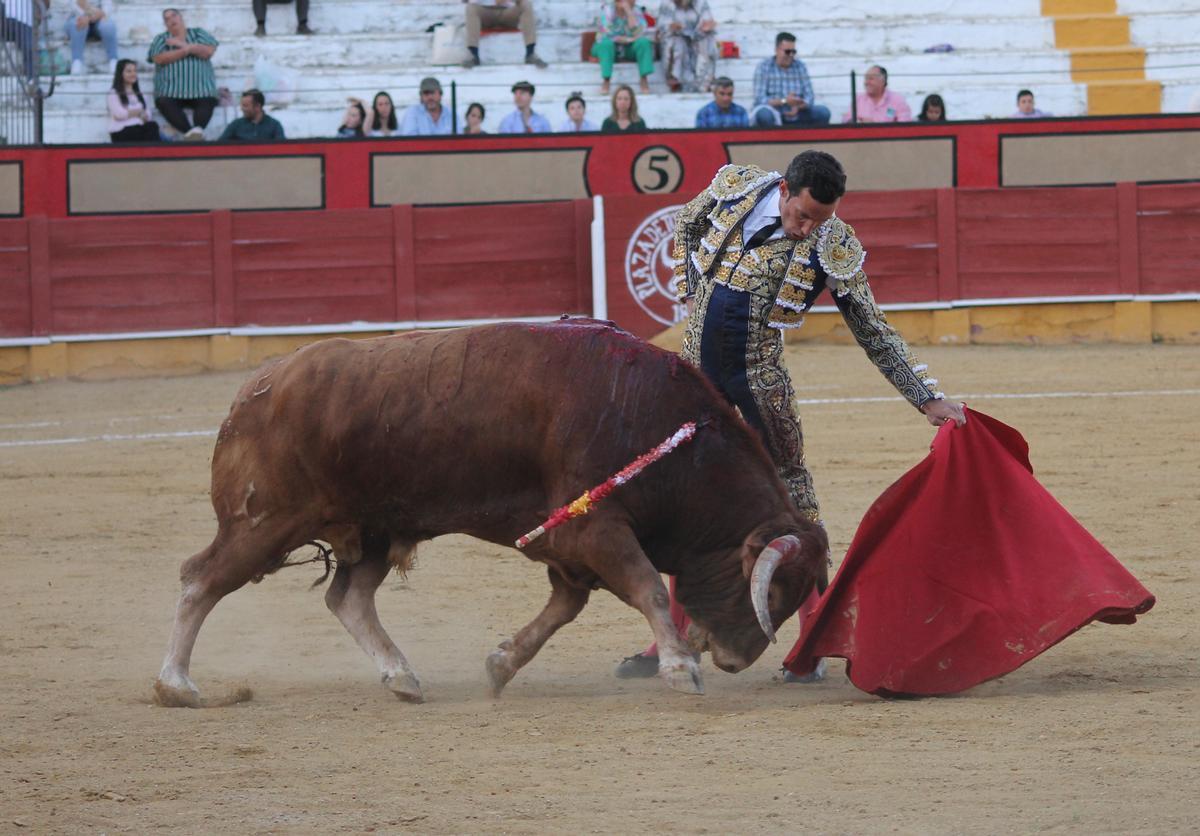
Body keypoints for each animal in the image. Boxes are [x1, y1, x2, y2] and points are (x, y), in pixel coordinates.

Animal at [154, 319, 830, 705]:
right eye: (773, 590)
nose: (736, 659)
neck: (667, 433)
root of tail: (256, 387)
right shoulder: (596, 529)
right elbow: (647, 587)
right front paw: (679, 668)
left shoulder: (571, 547)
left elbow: (564, 609)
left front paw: (501, 664)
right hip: (263, 523)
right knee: (199, 579)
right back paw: (175, 686)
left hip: (372, 528)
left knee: (348, 597)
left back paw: (401, 677)